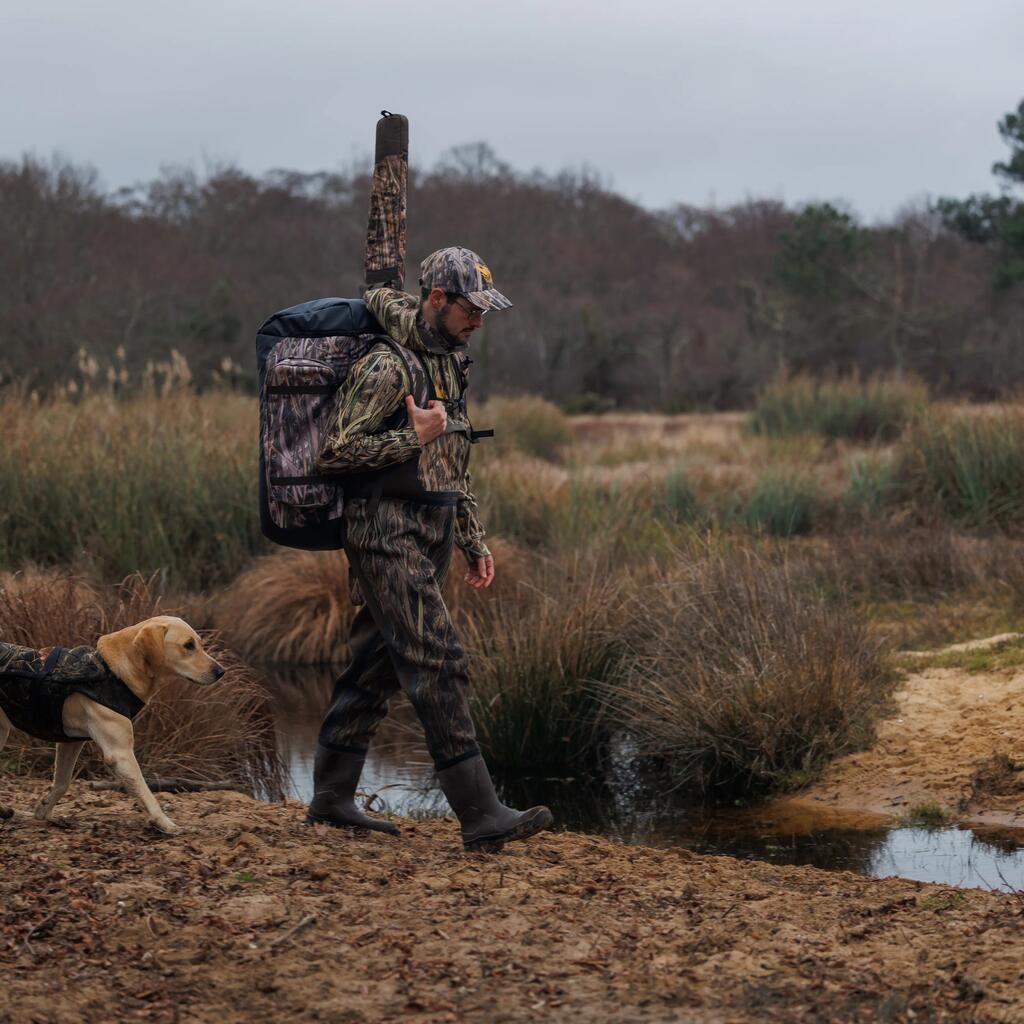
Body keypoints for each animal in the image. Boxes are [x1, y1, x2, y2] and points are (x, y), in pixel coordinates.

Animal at [0, 614, 225, 831]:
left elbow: (62, 782)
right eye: (188, 645)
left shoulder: (71, 743)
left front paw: (43, 809)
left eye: (198, 643)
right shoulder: (121, 754)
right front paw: (164, 822)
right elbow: (146, 792)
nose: (221, 671)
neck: (114, 674)